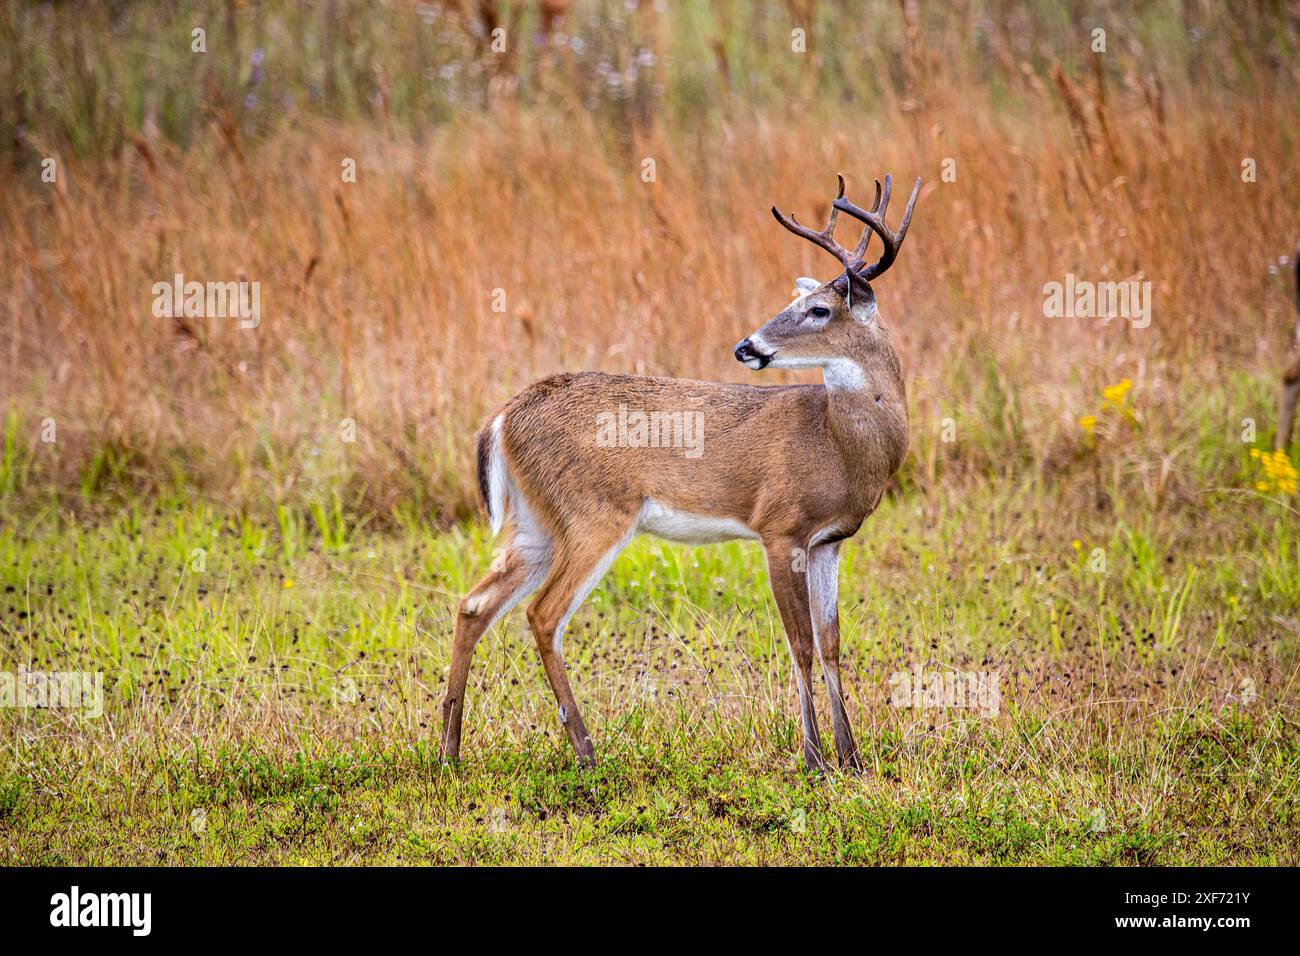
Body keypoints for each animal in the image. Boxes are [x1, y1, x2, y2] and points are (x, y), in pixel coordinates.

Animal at [439, 173, 921, 773]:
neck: (839, 443)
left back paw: (450, 750)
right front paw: (813, 759)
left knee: (474, 604)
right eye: (800, 302)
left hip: (538, 524)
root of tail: (504, 416)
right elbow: (801, 644)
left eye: (817, 310)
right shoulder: (779, 527)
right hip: (593, 515)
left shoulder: (829, 541)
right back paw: (587, 751)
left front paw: (849, 755)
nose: (746, 347)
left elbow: (831, 642)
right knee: (543, 614)